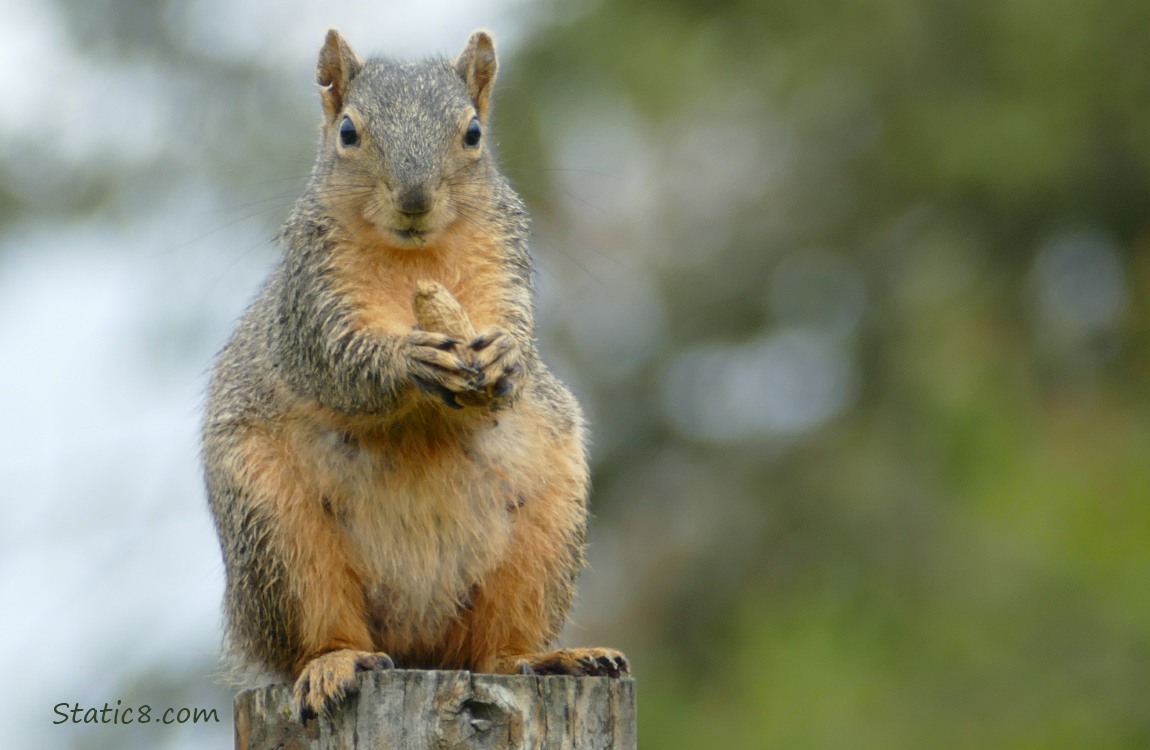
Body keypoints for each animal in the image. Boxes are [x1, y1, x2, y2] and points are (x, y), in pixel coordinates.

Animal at [200, 30, 630, 722]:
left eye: (474, 132)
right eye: (348, 132)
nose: (414, 200)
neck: (415, 257)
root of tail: (417, 643)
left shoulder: (503, 255)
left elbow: (514, 324)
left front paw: (508, 355)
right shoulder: (311, 291)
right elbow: (336, 356)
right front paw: (409, 360)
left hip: (546, 534)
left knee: (497, 652)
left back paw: (550, 658)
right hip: (276, 536)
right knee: (316, 631)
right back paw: (335, 663)